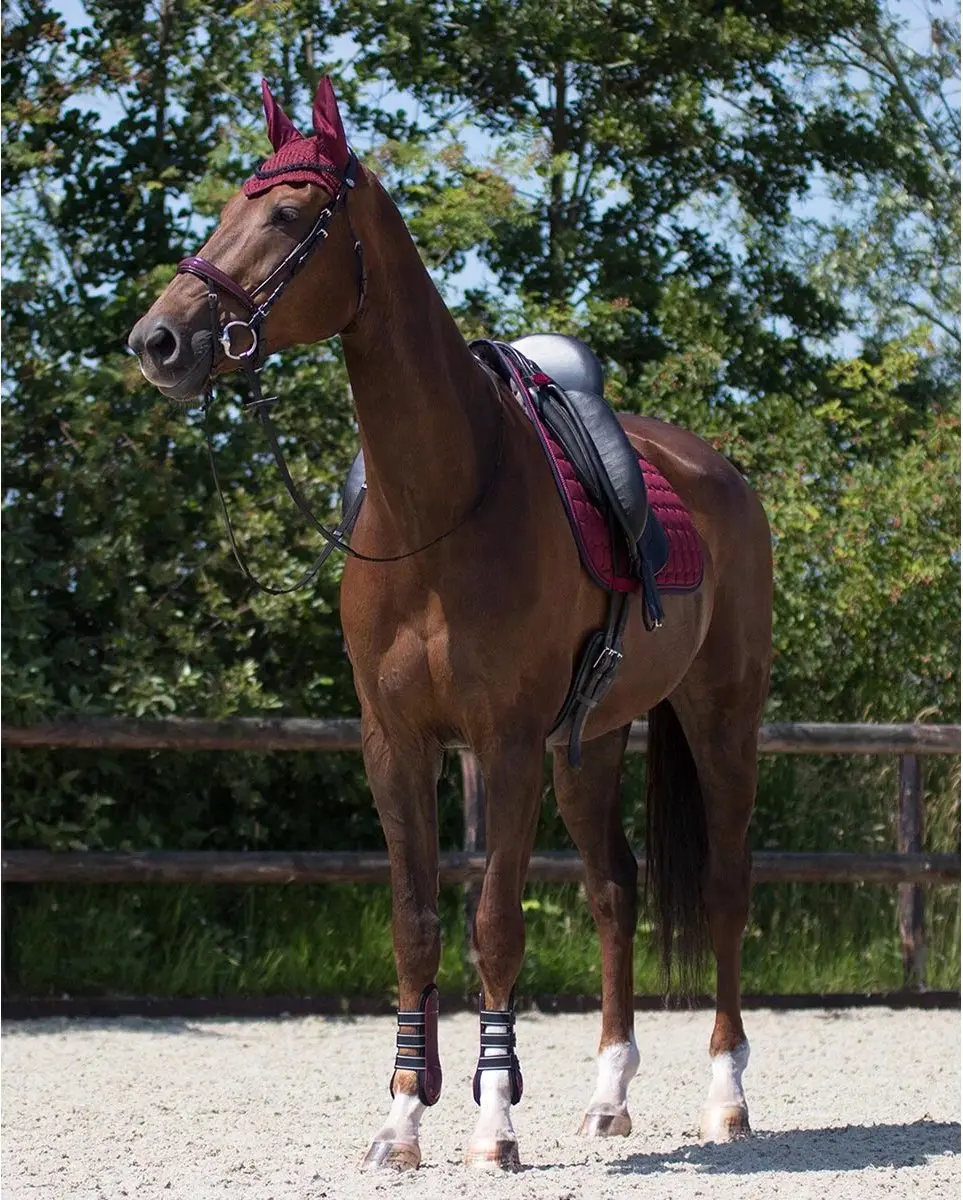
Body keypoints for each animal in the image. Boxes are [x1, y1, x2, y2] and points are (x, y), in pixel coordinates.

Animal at [128, 76, 773, 1172]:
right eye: (223, 207)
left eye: (289, 214)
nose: (159, 341)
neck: (439, 506)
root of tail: (718, 474)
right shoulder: (397, 743)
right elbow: (417, 927)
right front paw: (400, 1121)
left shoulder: (501, 743)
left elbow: (495, 925)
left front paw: (493, 1124)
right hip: (591, 742)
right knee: (614, 893)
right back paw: (607, 1099)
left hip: (720, 719)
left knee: (726, 893)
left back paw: (726, 1100)